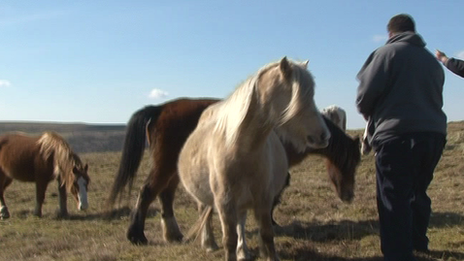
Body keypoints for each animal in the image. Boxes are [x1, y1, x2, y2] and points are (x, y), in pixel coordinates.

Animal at [178, 57, 330, 260]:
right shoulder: (225, 203)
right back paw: (209, 243)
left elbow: (266, 234)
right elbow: (229, 239)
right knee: (205, 213)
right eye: (297, 96)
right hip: (206, 197)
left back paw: (243, 251)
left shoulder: (263, 199)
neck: (239, 149)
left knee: (240, 223)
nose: (324, 135)